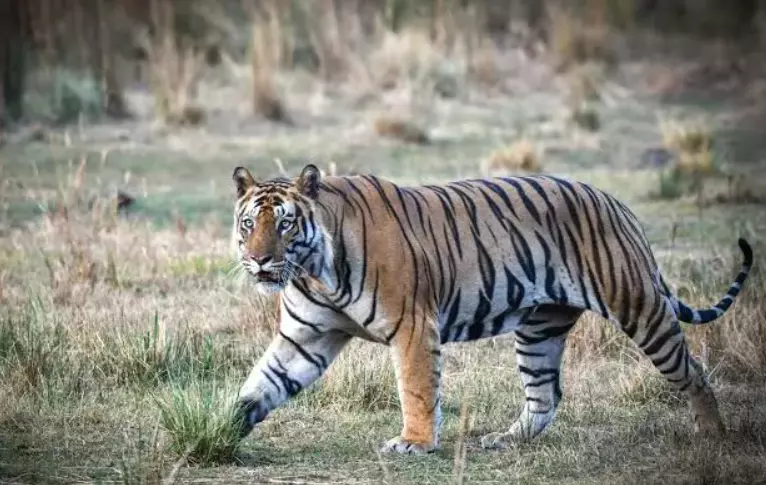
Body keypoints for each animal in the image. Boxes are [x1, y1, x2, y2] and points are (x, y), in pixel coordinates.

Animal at [231, 163, 753, 454]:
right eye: (249, 223)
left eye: (284, 224)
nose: (259, 260)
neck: (315, 269)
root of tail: (616, 202)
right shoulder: (306, 337)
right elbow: (261, 384)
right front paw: (220, 428)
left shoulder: (412, 326)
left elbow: (416, 388)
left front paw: (414, 443)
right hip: (540, 330)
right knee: (545, 396)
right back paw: (505, 441)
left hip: (639, 307)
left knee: (693, 372)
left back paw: (713, 435)